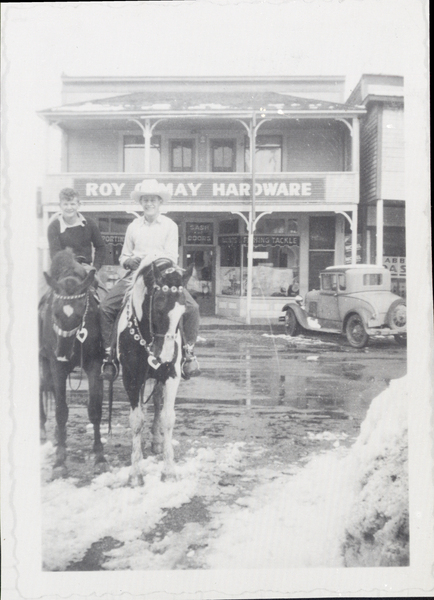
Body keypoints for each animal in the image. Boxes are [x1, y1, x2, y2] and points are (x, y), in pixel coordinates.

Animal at [40, 248, 107, 478]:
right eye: (55, 313)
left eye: (80, 315)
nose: (62, 353)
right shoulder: (57, 367)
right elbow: (61, 411)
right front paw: (60, 460)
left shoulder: (95, 365)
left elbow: (95, 409)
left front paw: (99, 455)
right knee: (43, 387)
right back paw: (43, 430)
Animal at [117, 255, 186, 486]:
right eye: (158, 307)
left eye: (183, 312)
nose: (166, 356)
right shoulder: (131, 378)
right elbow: (136, 420)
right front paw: (135, 474)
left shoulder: (171, 376)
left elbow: (168, 418)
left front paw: (169, 471)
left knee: (156, 404)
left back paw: (156, 442)